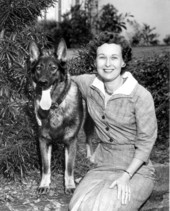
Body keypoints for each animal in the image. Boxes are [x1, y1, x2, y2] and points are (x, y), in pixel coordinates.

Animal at [28, 39, 93, 195]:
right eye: (38, 68)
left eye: (53, 68)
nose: (43, 82)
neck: (54, 106)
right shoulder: (44, 141)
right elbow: (45, 167)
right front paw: (44, 184)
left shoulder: (70, 141)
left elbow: (69, 168)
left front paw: (69, 186)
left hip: (89, 124)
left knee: (89, 139)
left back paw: (90, 157)